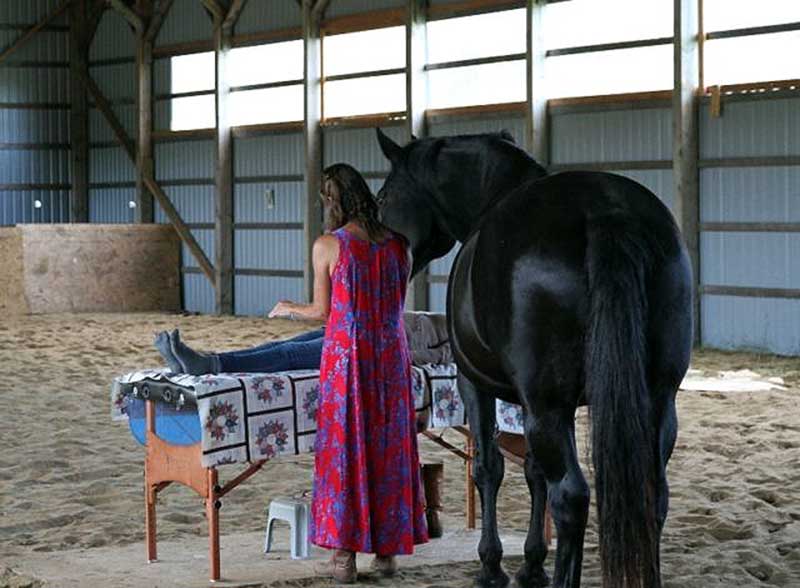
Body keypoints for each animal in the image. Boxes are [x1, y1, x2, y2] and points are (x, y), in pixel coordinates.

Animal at [376, 130, 692, 588]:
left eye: (383, 197)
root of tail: (604, 208)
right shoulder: (538, 403)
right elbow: (532, 470)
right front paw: (532, 564)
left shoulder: (477, 385)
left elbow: (489, 467)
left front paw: (492, 566)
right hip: (656, 401)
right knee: (654, 495)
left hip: (548, 405)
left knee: (571, 496)